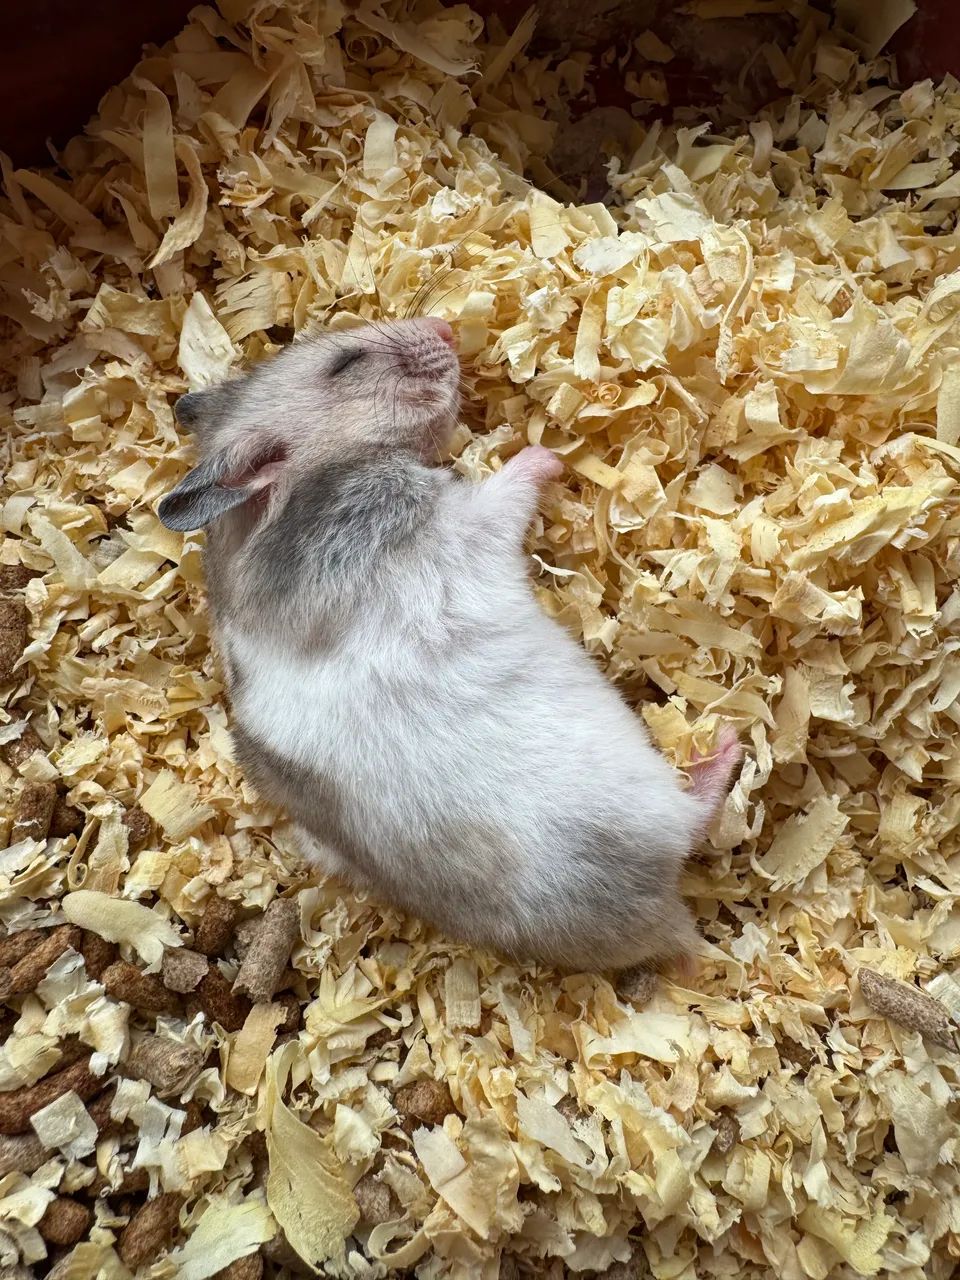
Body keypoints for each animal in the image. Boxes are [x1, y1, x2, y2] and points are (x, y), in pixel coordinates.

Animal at [158, 316, 741, 973]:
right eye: (347, 363)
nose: (445, 326)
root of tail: (663, 922)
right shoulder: (445, 518)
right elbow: (501, 493)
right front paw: (544, 453)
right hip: (640, 811)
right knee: (697, 819)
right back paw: (724, 747)